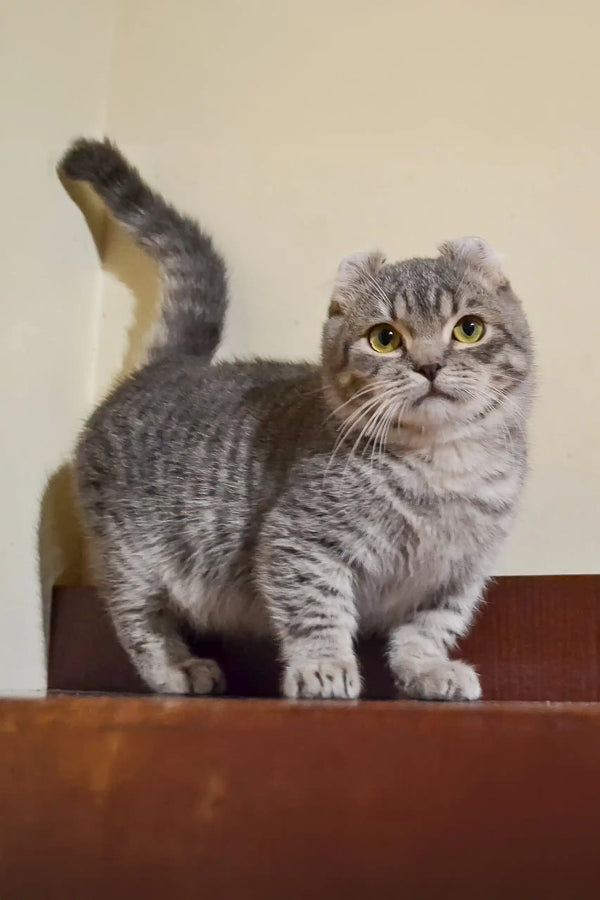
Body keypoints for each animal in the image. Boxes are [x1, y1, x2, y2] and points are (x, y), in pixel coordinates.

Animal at [58, 139, 532, 704]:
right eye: (385, 338)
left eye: (468, 329)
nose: (430, 365)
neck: (440, 466)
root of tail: (170, 366)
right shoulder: (300, 541)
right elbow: (315, 610)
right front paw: (323, 666)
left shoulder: (457, 574)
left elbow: (427, 629)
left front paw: (427, 670)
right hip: (132, 557)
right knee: (137, 620)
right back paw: (176, 669)